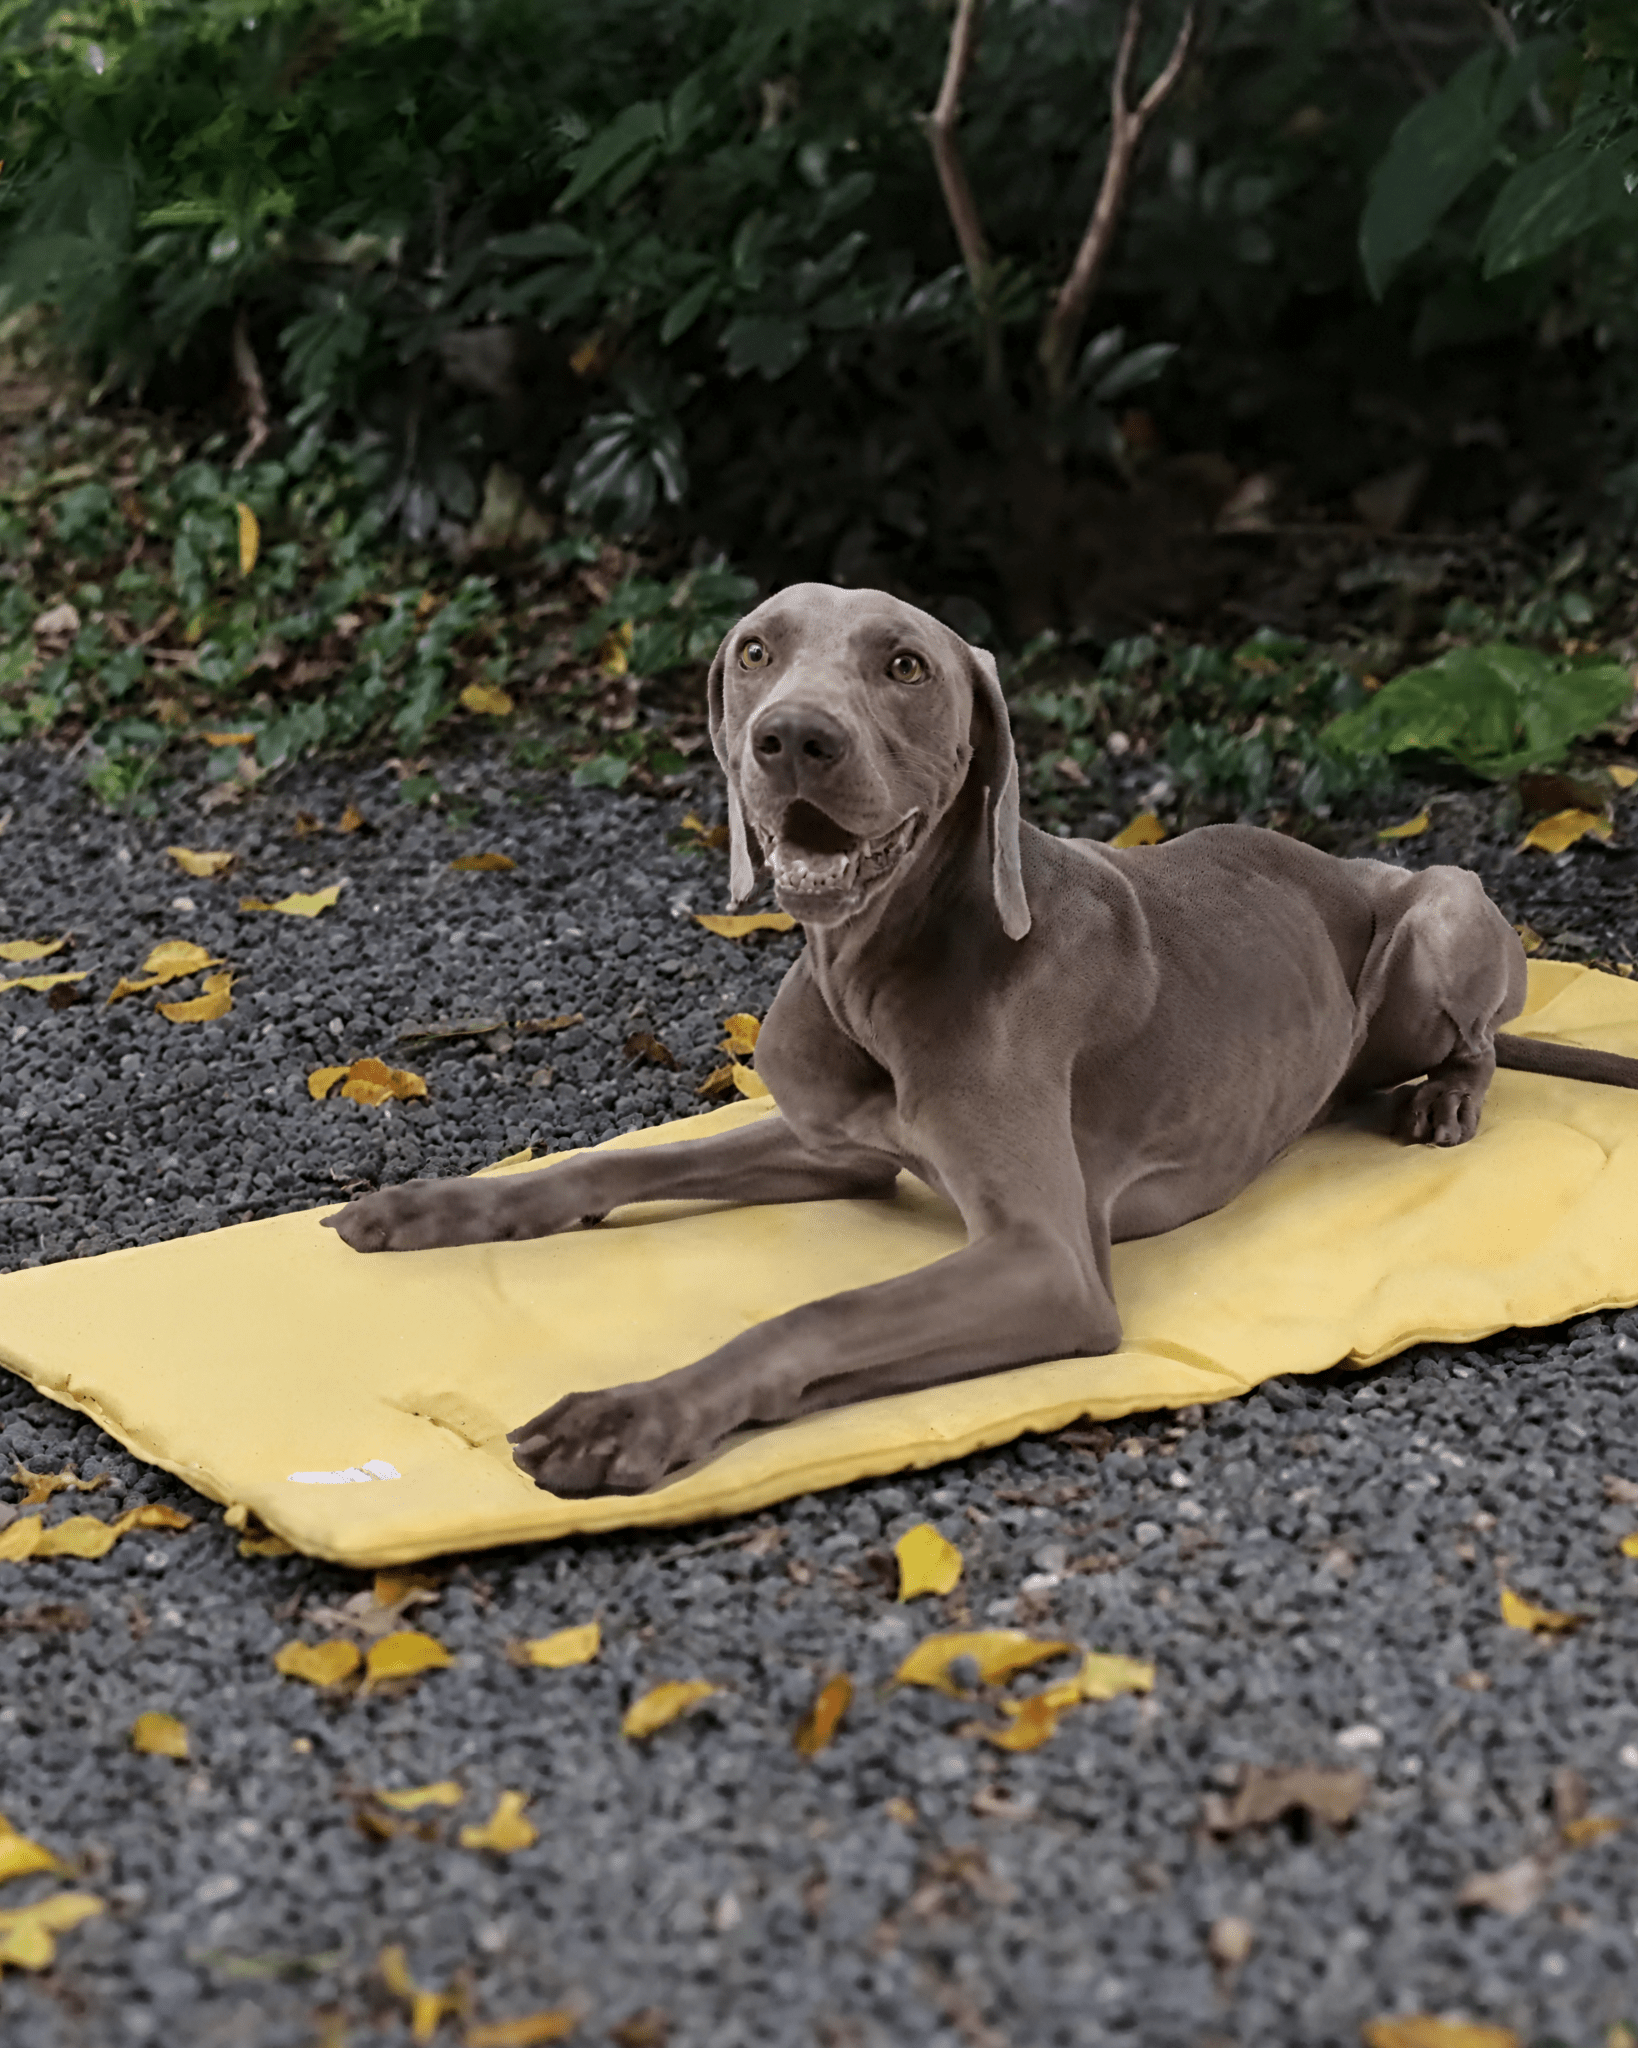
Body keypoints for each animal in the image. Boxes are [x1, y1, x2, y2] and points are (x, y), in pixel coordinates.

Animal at [325, 585, 1637, 1499]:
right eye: (756, 649)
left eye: (905, 664)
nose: (792, 738)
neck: (882, 968)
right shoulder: (839, 1148)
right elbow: (618, 1162)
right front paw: (432, 1206)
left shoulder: (1045, 1261)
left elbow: (816, 1316)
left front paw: (633, 1412)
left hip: (1441, 910)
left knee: (1477, 1035)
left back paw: (1445, 1097)